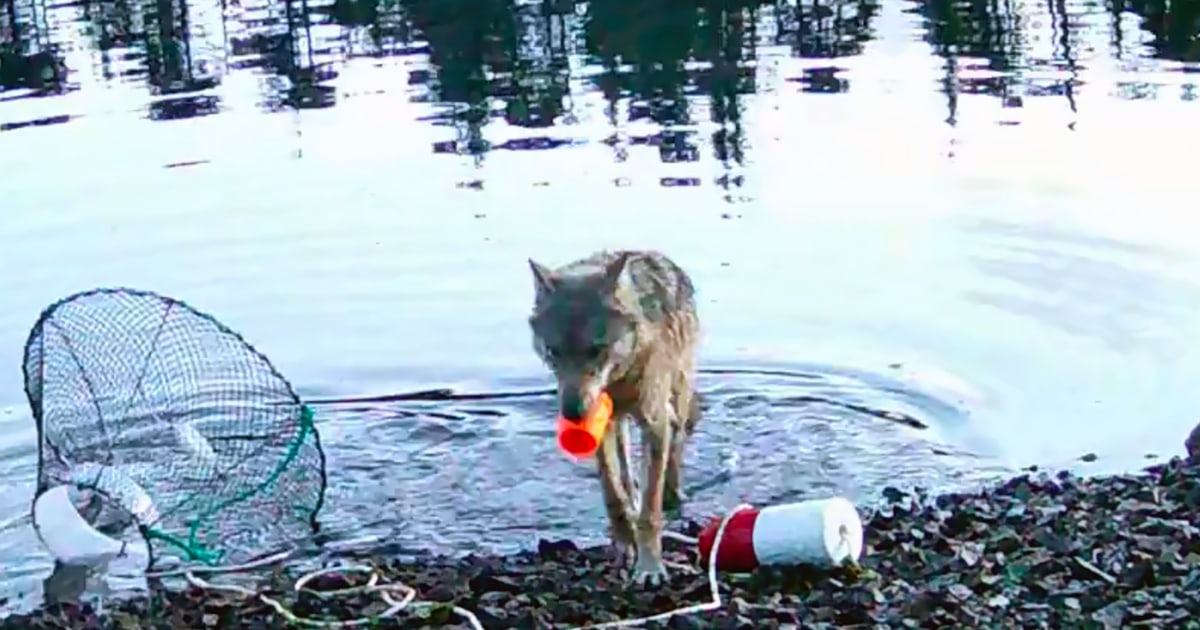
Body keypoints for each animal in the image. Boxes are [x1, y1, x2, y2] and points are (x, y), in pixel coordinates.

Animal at [526, 249, 702, 587]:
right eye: (553, 352)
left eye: (596, 350)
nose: (572, 413)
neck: (619, 379)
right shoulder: (601, 425)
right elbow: (613, 494)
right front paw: (624, 546)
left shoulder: (654, 422)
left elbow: (650, 509)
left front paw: (650, 568)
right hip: (620, 423)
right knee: (625, 469)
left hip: (678, 396)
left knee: (676, 443)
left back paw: (674, 493)